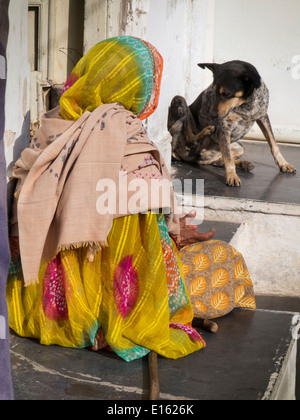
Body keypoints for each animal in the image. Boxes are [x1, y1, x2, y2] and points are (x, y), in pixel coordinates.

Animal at [168, 60, 296, 186]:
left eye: (227, 94)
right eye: (214, 91)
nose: (212, 115)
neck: (246, 103)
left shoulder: (263, 117)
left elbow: (273, 144)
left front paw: (283, 164)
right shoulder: (225, 126)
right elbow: (228, 157)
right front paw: (232, 176)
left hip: (239, 147)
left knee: (218, 161)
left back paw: (243, 164)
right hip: (179, 100)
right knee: (190, 139)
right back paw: (206, 131)